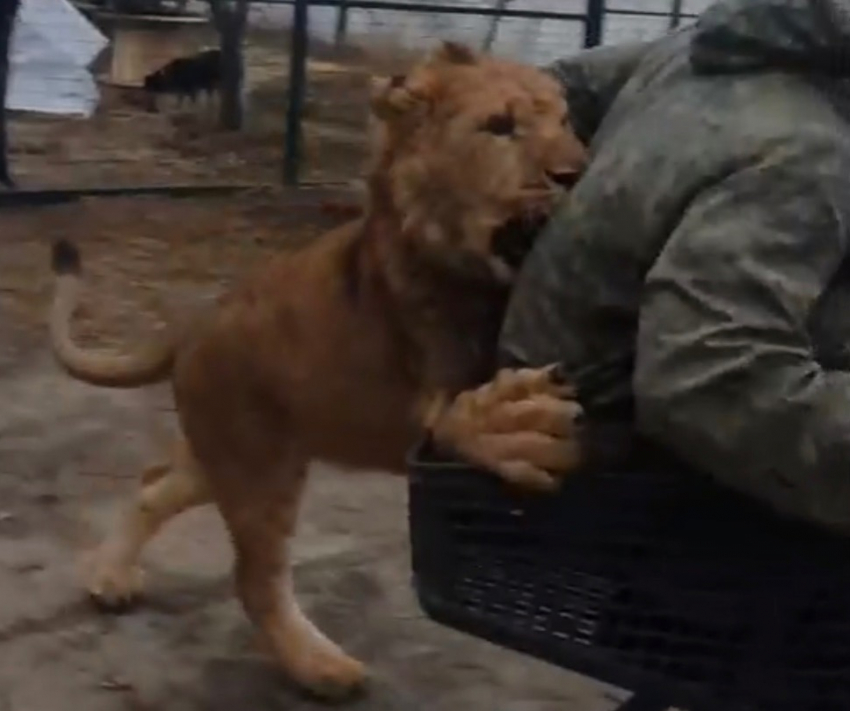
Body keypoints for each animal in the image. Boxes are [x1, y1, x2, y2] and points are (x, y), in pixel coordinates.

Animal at [48, 40, 584, 700]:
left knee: (154, 485)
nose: (576, 172)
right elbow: (458, 417)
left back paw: (109, 577)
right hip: (258, 468)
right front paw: (515, 423)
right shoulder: (422, 396)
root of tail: (196, 321)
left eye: (565, 120)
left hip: (228, 457)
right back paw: (322, 668)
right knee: (254, 579)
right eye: (500, 127)